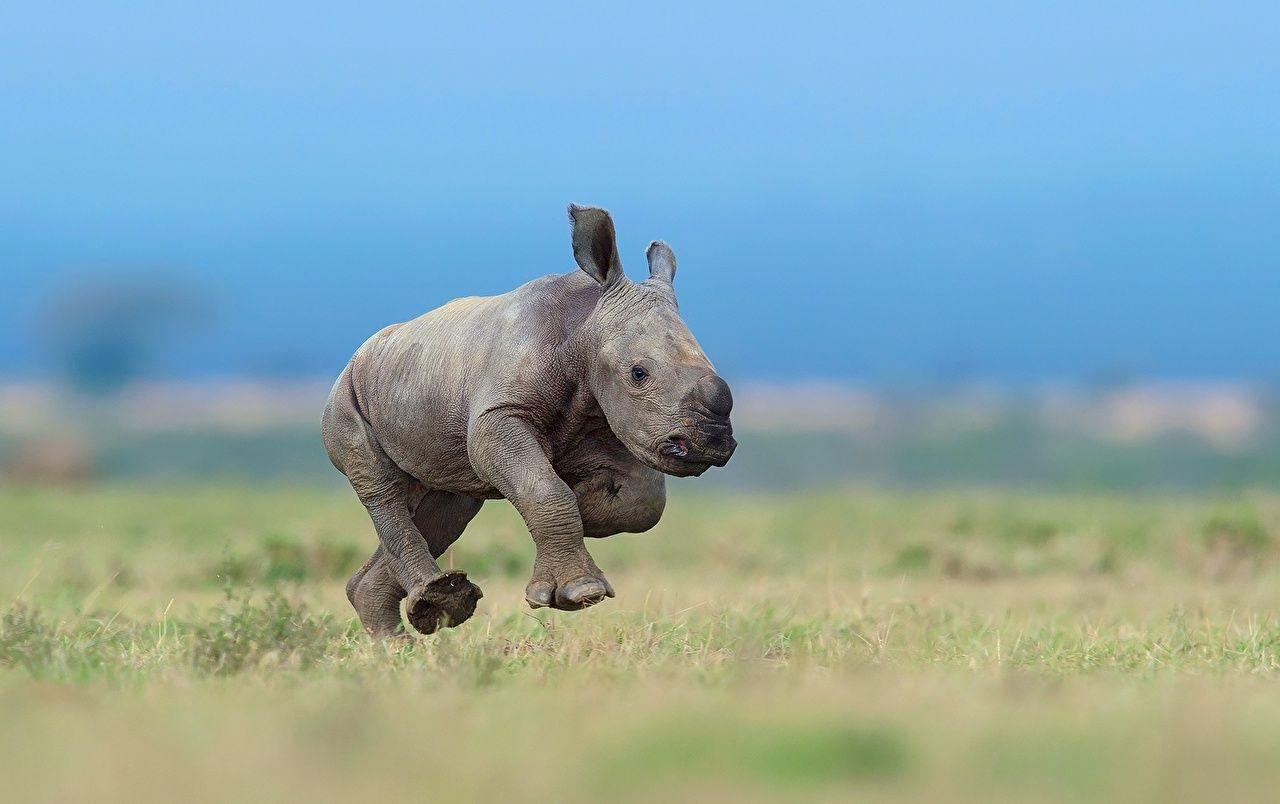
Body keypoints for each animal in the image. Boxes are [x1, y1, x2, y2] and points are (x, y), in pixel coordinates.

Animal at [322, 204, 737, 637]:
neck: (583, 331)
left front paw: (585, 500)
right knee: (382, 488)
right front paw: (579, 593)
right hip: (347, 395)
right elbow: (546, 489)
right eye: (639, 374)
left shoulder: (610, 420)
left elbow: (645, 501)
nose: (712, 443)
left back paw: (401, 640)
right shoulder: (499, 414)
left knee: (448, 506)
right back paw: (435, 606)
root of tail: (359, 353)